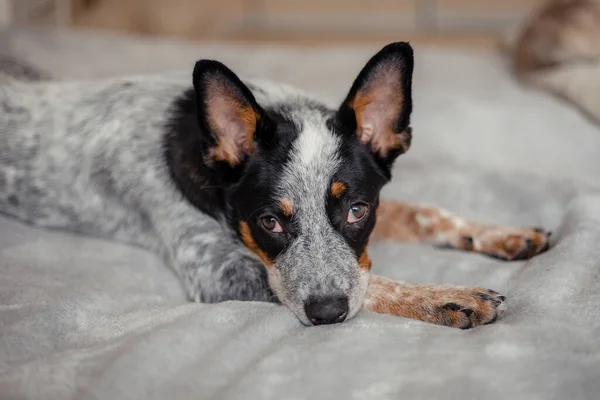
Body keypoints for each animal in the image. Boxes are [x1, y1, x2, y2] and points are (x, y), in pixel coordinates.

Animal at [0, 42, 552, 328]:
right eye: (269, 221)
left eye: (357, 210)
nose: (327, 315)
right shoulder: (219, 272)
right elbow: (368, 283)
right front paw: (445, 297)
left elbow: (422, 214)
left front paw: (500, 234)